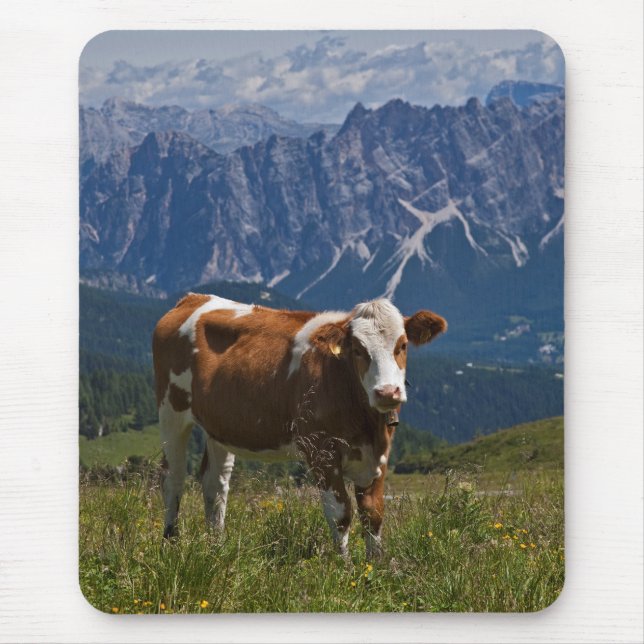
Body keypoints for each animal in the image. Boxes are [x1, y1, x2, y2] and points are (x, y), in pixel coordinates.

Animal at [152, 293, 447, 559]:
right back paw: (171, 544)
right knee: (173, 478)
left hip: (220, 427)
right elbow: (340, 514)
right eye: (358, 350)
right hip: (171, 412)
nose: (387, 392)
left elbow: (373, 513)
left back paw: (217, 547)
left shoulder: (379, 454)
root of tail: (193, 298)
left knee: (215, 484)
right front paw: (344, 568)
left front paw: (375, 568)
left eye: (403, 345)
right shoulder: (320, 451)